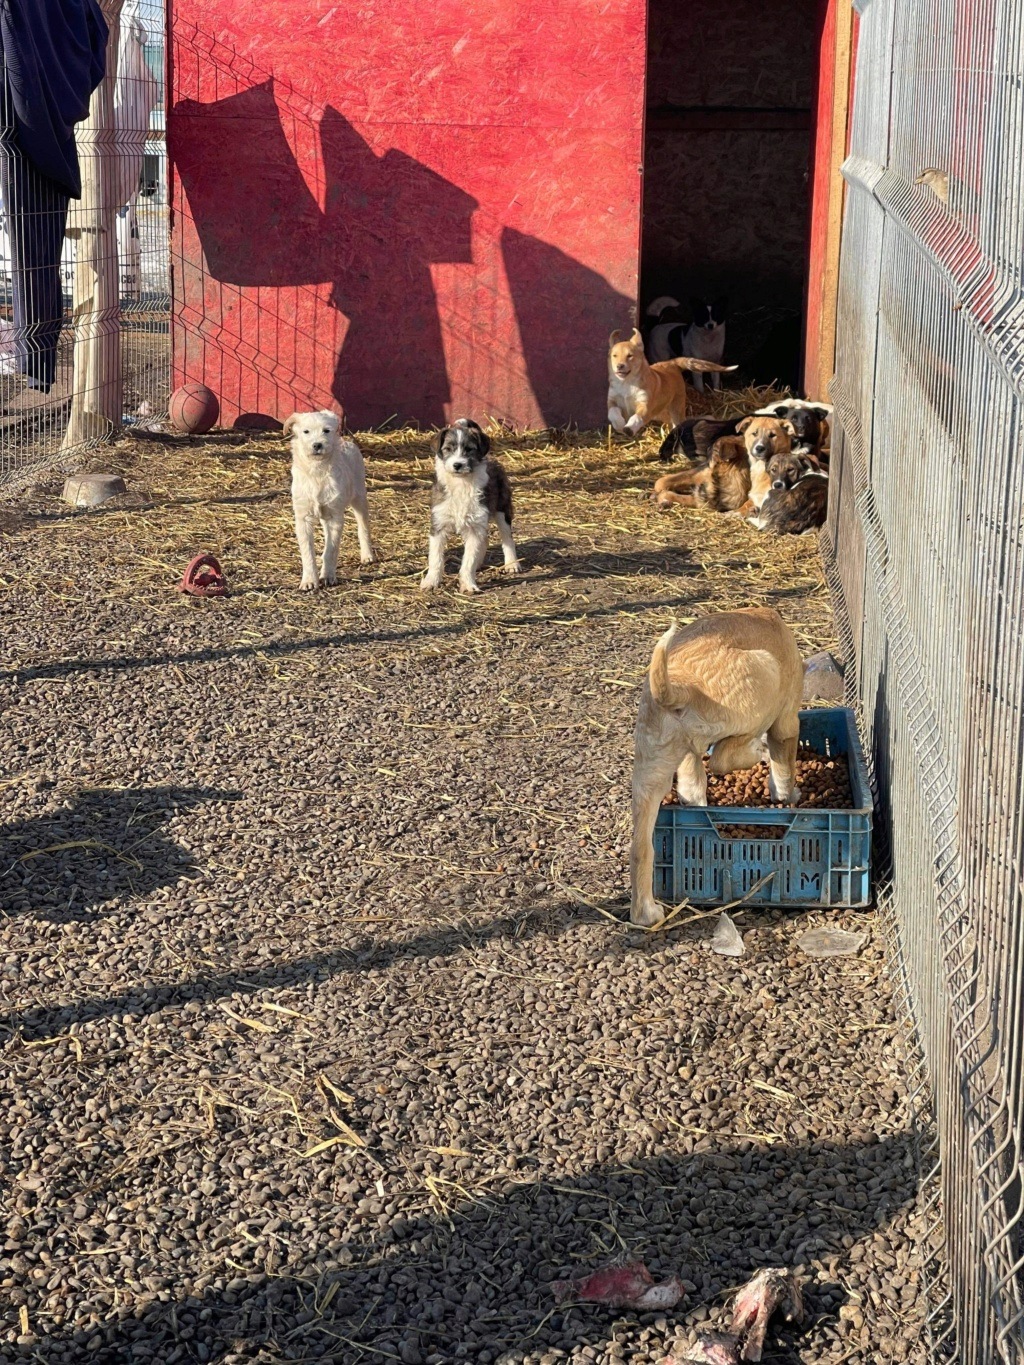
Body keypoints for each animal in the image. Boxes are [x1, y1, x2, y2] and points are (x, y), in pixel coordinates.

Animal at [282, 409, 374, 592]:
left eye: (326, 430)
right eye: (306, 431)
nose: (317, 445)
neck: (317, 471)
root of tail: (347, 443)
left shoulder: (335, 517)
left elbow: (331, 549)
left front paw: (328, 576)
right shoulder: (303, 518)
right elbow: (307, 552)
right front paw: (309, 580)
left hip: (360, 498)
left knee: (363, 527)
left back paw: (367, 555)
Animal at [420, 417, 524, 595]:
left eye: (469, 449)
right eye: (448, 449)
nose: (457, 465)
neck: (461, 483)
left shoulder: (475, 527)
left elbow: (468, 561)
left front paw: (468, 584)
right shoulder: (438, 524)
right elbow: (435, 558)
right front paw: (431, 581)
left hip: (502, 509)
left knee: (507, 537)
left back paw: (512, 563)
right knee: (485, 540)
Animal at [608, 327, 737, 434]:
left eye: (630, 356)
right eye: (614, 356)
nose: (619, 366)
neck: (626, 383)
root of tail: (673, 362)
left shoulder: (645, 405)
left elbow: (636, 417)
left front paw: (629, 428)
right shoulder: (612, 400)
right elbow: (613, 413)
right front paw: (619, 425)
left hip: (676, 408)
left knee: (678, 422)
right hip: (662, 413)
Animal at [630, 611, 808, 922]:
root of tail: (682, 686)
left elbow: (691, 780)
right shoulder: (787, 721)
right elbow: (784, 768)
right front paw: (788, 795)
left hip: (651, 771)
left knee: (642, 847)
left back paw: (647, 914)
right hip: (765, 677)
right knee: (722, 758)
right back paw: (756, 749)